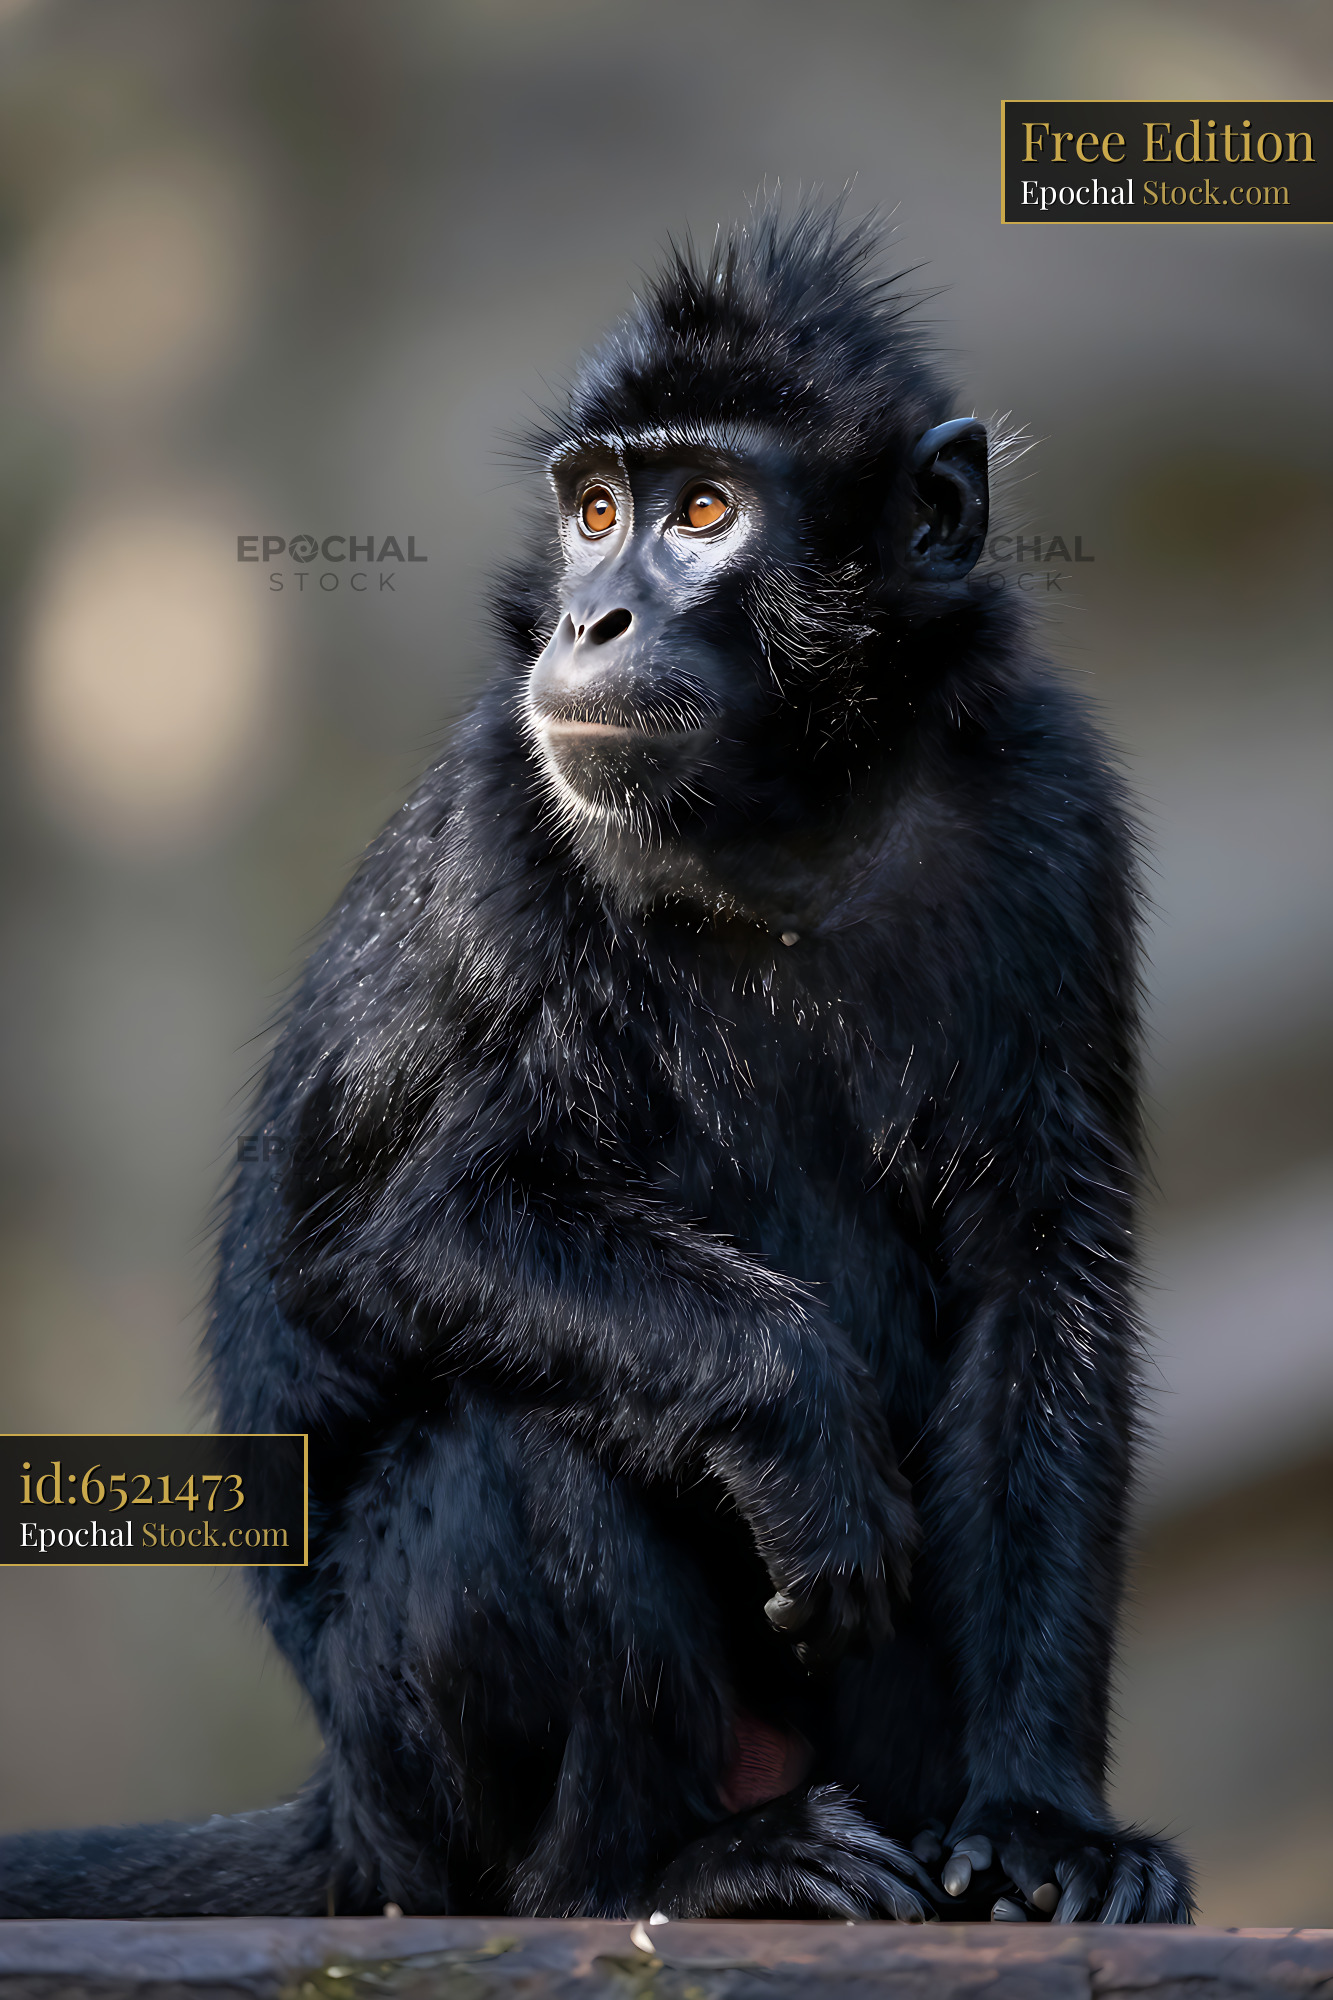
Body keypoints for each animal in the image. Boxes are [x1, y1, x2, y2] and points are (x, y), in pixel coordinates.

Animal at [0, 205, 1192, 1926]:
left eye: (702, 511)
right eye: (594, 512)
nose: (591, 619)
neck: (781, 835)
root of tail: (353, 1816)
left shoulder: (1049, 806)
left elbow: (1041, 1282)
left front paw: (1046, 1824)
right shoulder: (515, 810)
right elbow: (417, 1233)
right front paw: (797, 1416)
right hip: (418, 1785)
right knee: (528, 1444)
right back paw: (669, 1871)